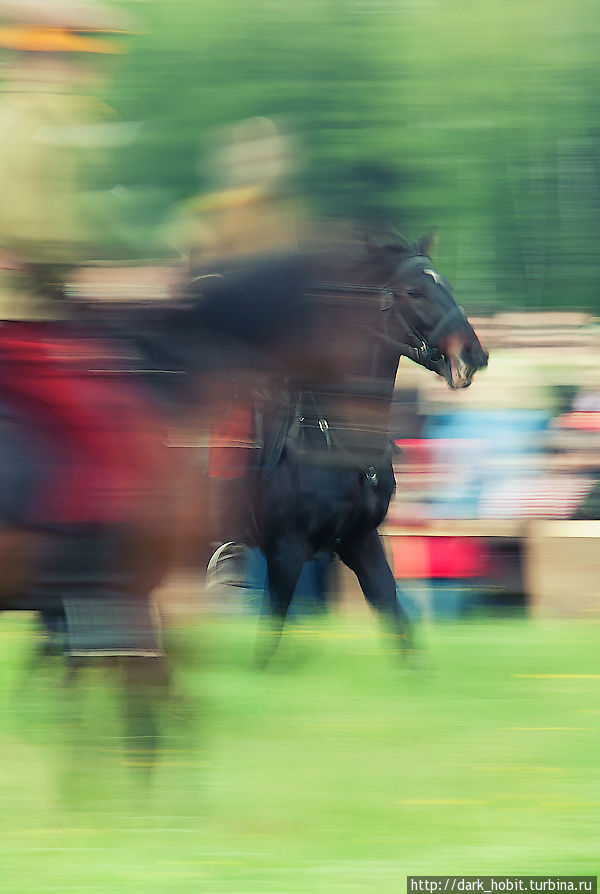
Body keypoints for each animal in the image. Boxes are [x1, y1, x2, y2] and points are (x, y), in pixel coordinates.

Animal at [248, 233, 488, 664]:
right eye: (415, 291)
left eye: (446, 286)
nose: (472, 355)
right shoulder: (285, 550)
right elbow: (269, 639)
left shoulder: (360, 540)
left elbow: (395, 616)